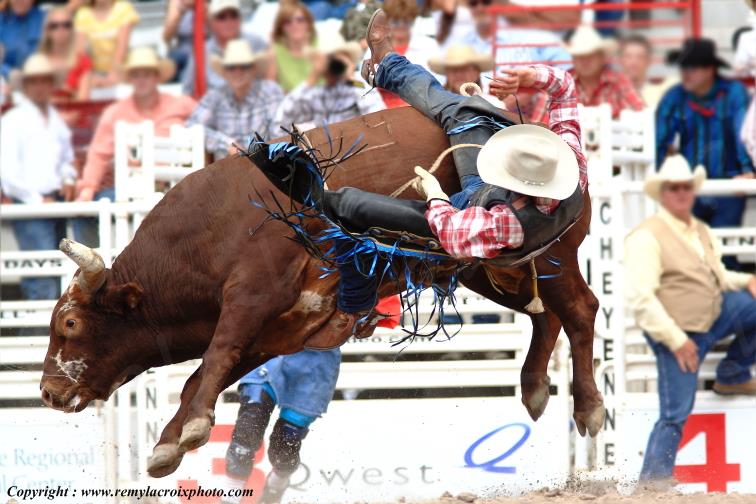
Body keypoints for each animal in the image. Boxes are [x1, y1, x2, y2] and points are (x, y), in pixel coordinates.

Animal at [40, 107, 604, 479]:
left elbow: (214, 357)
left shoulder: (252, 296)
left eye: (70, 324)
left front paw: (191, 429)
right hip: (484, 270)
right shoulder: (278, 330)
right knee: (545, 315)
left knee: (580, 310)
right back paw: (534, 387)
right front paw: (167, 447)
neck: (198, 239)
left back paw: (590, 408)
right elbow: (203, 375)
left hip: (545, 251)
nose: (47, 392)